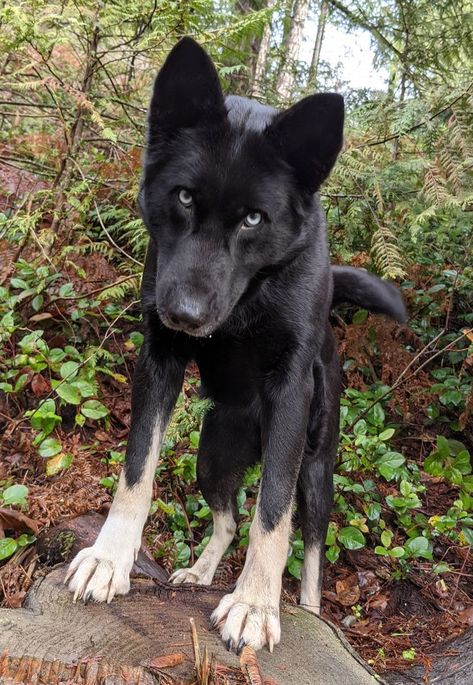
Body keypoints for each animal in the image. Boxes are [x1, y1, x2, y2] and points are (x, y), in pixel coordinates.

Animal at [66, 37, 406, 652]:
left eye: (253, 218)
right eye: (183, 197)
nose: (184, 314)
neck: (250, 296)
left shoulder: (289, 393)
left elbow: (272, 515)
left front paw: (254, 605)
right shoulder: (159, 360)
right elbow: (137, 470)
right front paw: (109, 559)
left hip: (317, 467)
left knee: (311, 543)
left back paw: (310, 611)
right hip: (213, 451)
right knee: (226, 516)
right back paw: (199, 573)